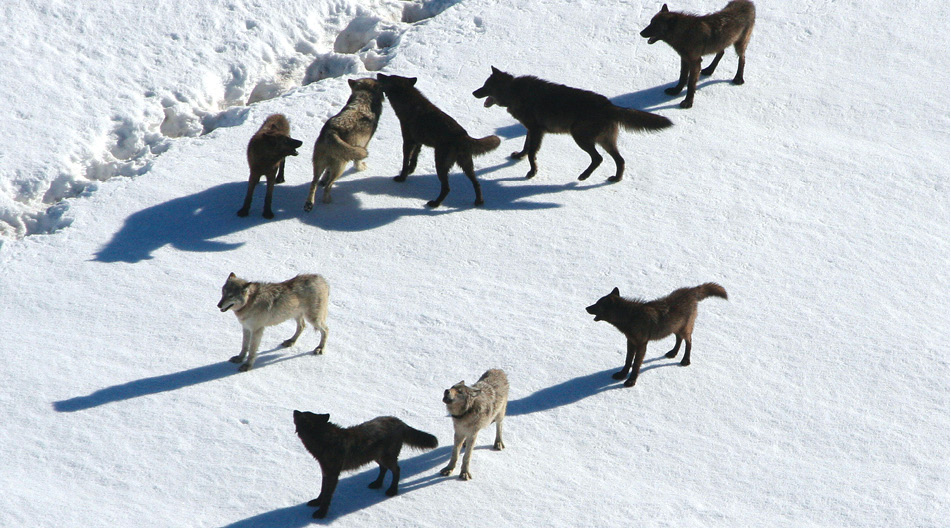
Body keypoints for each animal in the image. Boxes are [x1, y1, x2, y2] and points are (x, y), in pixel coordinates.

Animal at [294, 410, 438, 516]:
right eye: (304, 412)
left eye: (302, 415)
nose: (294, 410)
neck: (325, 440)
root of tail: (400, 422)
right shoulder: (325, 472)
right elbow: (322, 491)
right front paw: (317, 502)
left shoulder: (332, 475)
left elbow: (327, 495)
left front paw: (321, 514)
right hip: (377, 457)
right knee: (383, 469)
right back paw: (377, 484)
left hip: (386, 457)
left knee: (397, 470)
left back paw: (392, 490)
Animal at [304, 78, 386, 210]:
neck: (363, 99)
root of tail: (331, 131)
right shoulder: (364, 145)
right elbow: (358, 162)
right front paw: (361, 168)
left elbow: (326, 173)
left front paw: (323, 180)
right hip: (340, 167)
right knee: (328, 186)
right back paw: (328, 202)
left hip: (318, 164)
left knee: (314, 183)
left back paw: (309, 204)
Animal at [376, 73, 502, 208]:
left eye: (388, 78)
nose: (378, 74)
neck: (409, 104)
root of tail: (463, 136)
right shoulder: (418, 142)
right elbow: (414, 159)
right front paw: (411, 170)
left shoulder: (408, 141)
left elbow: (405, 161)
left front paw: (402, 177)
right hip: (466, 165)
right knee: (476, 183)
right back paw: (478, 201)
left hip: (441, 164)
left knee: (447, 188)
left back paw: (435, 203)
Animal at [472, 67, 672, 183]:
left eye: (486, 86)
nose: (474, 93)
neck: (514, 91)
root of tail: (609, 105)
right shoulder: (531, 129)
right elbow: (526, 148)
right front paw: (518, 156)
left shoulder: (536, 130)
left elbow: (531, 153)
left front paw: (532, 172)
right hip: (605, 141)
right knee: (620, 160)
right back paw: (615, 179)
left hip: (580, 137)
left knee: (598, 158)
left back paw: (584, 176)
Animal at [580, 282, 728, 386]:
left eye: (597, 304)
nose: (586, 308)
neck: (630, 317)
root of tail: (692, 290)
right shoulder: (630, 341)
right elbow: (628, 361)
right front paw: (622, 375)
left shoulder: (642, 344)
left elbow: (636, 364)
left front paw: (631, 382)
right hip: (675, 328)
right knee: (679, 340)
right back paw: (672, 353)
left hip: (684, 330)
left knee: (689, 342)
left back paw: (685, 360)